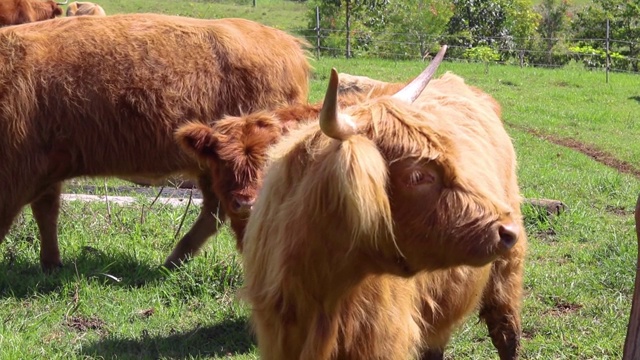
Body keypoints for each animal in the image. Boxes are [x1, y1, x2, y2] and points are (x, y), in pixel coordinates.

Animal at [0, 14, 310, 272]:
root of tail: (288, 44)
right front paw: (51, 264)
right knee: (217, 211)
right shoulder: (43, 170)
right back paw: (174, 261)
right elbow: (46, 213)